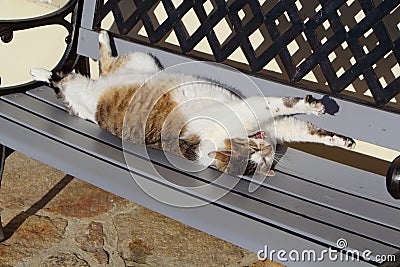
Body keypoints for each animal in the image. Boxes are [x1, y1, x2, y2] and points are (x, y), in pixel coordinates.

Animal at [32, 30, 356, 178]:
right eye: (251, 154)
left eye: (262, 162)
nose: (266, 151)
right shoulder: (247, 111)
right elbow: (281, 104)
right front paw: (314, 105)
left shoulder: (279, 129)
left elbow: (309, 132)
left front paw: (344, 141)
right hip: (116, 72)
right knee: (68, 77)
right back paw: (45, 68)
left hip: (142, 63)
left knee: (105, 64)